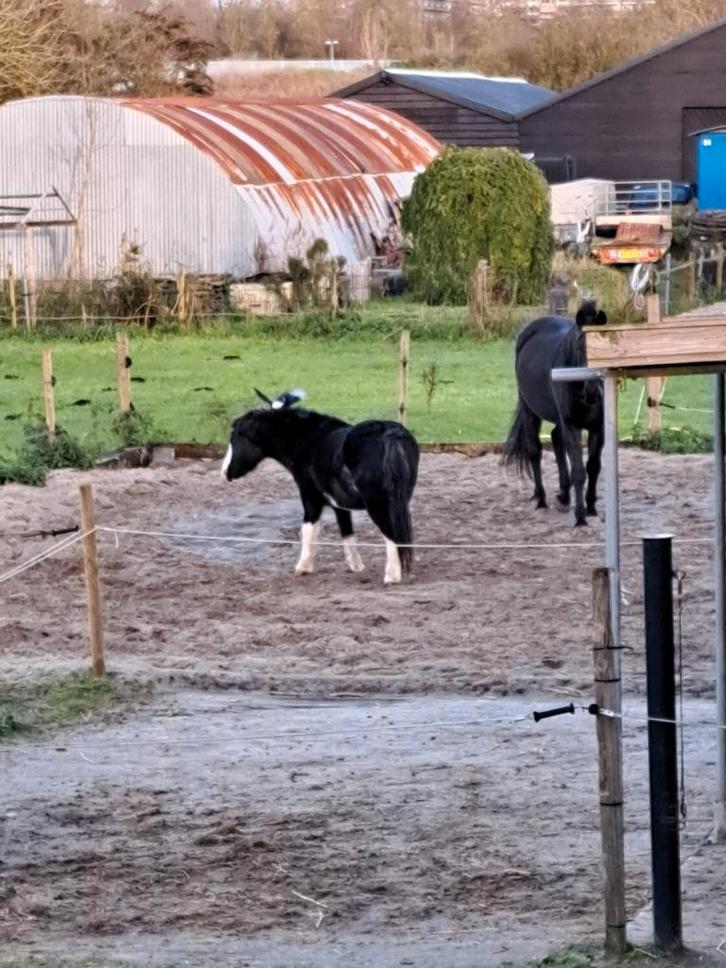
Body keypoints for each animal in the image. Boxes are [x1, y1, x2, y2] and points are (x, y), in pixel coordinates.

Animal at [221, 389, 420, 584]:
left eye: (236, 437)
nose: (224, 472)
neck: (307, 441)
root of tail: (392, 435)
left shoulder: (310, 496)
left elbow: (308, 528)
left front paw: (303, 567)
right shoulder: (339, 505)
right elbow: (347, 533)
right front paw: (356, 566)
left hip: (377, 505)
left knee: (390, 534)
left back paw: (392, 576)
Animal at [503, 300, 608, 526]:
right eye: (579, 346)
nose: (593, 392)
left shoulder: (598, 427)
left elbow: (593, 466)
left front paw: (591, 508)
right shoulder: (572, 425)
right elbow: (579, 471)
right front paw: (580, 516)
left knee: (556, 439)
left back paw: (564, 497)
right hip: (530, 411)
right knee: (535, 451)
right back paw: (542, 499)